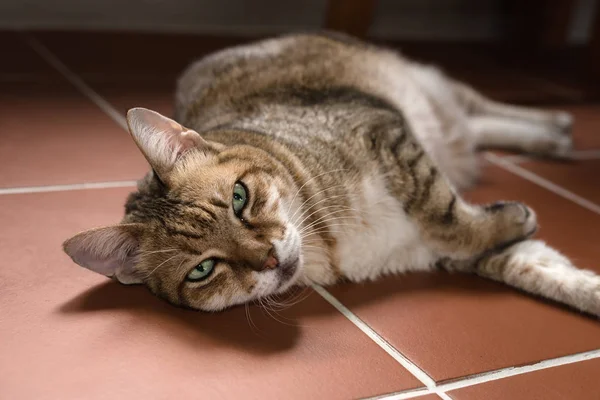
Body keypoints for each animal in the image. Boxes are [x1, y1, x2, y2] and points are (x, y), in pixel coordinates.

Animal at [63, 32, 596, 318]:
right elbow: (530, 263)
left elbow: (440, 210)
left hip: (427, 86)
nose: (270, 259)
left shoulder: (383, 130)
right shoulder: (444, 250)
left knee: (481, 107)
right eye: (202, 270)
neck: (331, 243)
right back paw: (553, 136)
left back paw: (557, 124)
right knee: (476, 124)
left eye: (239, 198)